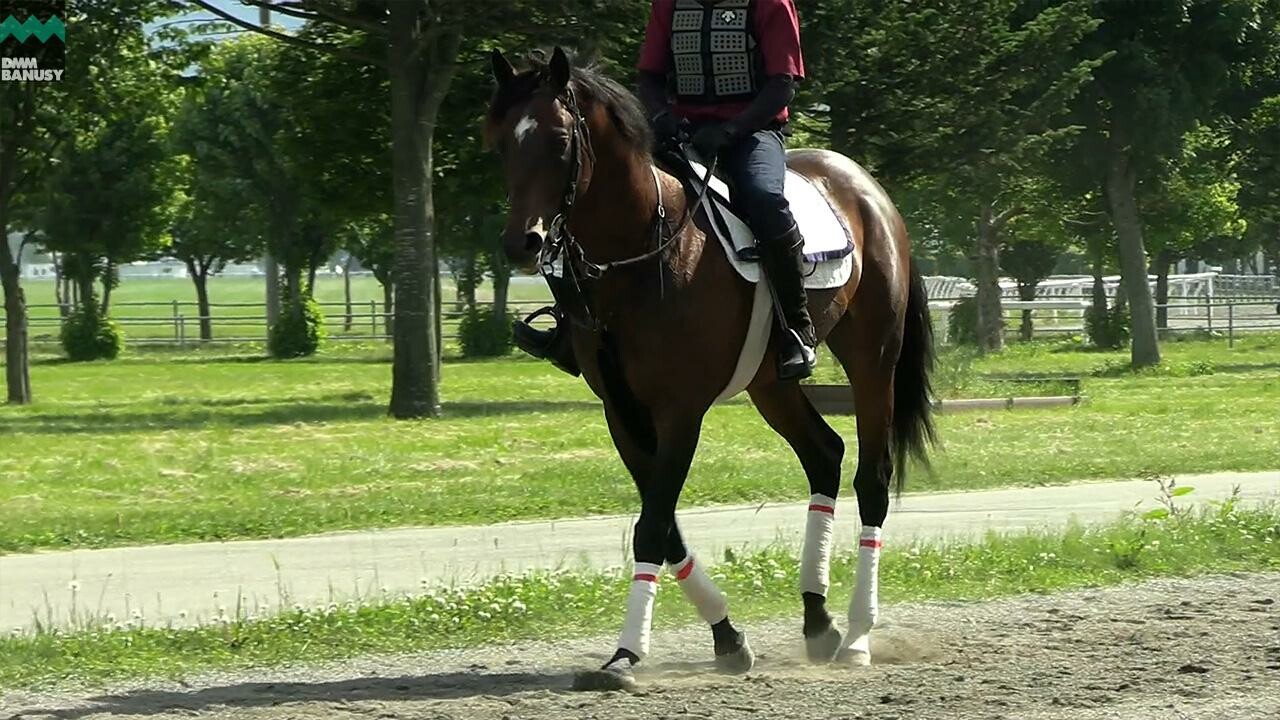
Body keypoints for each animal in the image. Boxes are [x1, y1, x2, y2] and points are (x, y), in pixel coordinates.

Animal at [483, 47, 936, 686]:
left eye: (559, 139)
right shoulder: (622, 415)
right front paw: (726, 637)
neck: (641, 256)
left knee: (871, 481)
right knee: (824, 455)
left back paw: (858, 636)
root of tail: (865, 186)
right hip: (771, 383)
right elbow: (663, 522)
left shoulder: (680, 413)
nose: (522, 243)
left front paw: (626, 653)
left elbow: (653, 523)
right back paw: (818, 621)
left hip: (873, 362)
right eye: (500, 141)